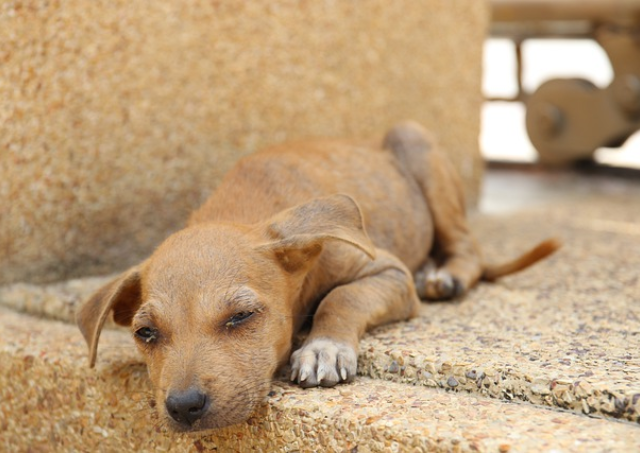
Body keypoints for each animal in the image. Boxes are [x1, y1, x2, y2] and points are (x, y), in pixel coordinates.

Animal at [77, 120, 556, 430]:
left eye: (241, 317)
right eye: (145, 333)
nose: (183, 406)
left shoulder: (388, 271)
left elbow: (341, 297)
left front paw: (323, 347)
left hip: (415, 141)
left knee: (467, 247)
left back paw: (445, 275)